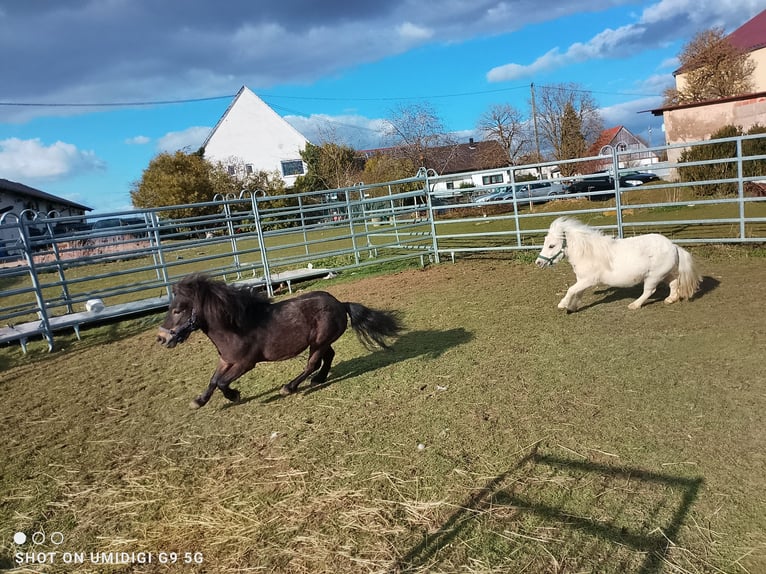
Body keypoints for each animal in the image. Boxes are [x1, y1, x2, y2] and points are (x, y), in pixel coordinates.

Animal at [156, 273, 404, 408]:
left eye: (178, 310)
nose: (161, 338)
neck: (235, 328)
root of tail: (340, 304)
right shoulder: (226, 360)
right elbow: (213, 380)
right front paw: (199, 401)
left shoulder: (245, 363)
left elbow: (221, 383)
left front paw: (234, 395)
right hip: (321, 342)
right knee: (328, 357)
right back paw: (318, 379)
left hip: (319, 342)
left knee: (312, 364)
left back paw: (290, 387)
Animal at [535, 217, 701, 312]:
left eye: (551, 245)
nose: (538, 262)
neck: (587, 253)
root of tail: (673, 246)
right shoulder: (582, 281)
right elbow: (577, 292)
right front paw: (572, 307)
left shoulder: (588, 280)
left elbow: (571, 290)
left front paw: (563, 305)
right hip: (666, 273)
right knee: (674, 284)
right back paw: (670, 300)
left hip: (653, 276)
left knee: (650, 291)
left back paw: (634, 305)